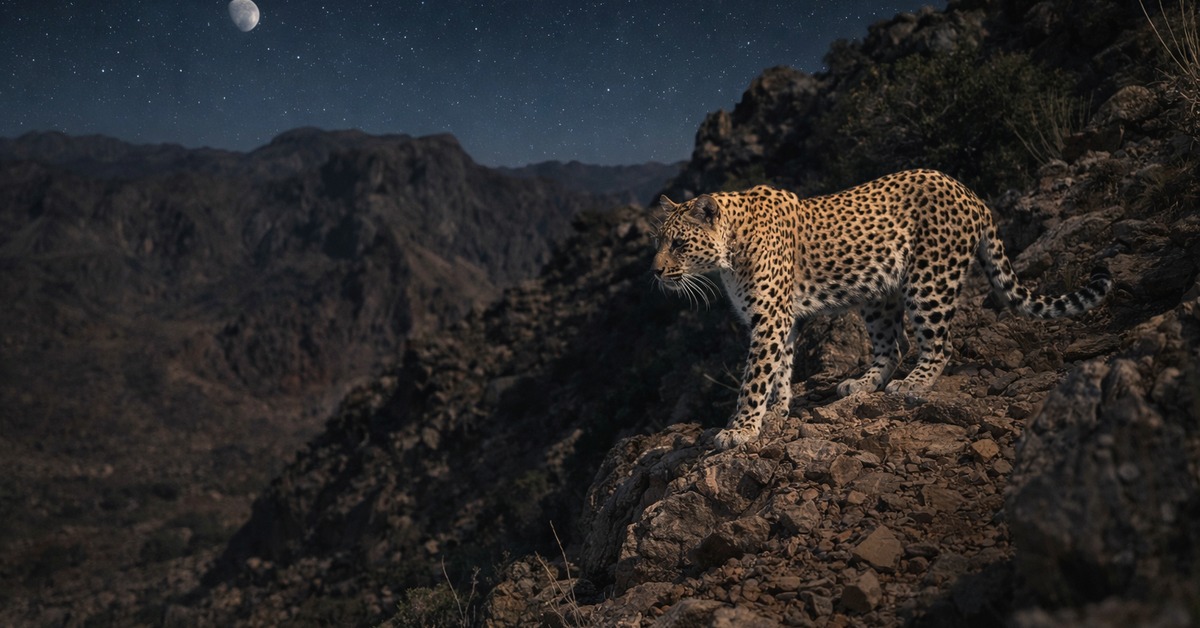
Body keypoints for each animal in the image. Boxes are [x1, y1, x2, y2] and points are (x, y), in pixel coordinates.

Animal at [652, 169, 1111, 451]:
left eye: (679, 243)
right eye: (659, 241)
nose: (654, 271)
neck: (729, 252)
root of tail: (970, 193)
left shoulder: (771, 317)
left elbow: (755, 375)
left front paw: (739, 428)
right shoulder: (779, 318)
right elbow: (779, 368)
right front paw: (778, 411)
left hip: (929, 279)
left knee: (939, 344)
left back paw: (912, 385)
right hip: (878, 295)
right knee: (894, 346)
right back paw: (860, 384)